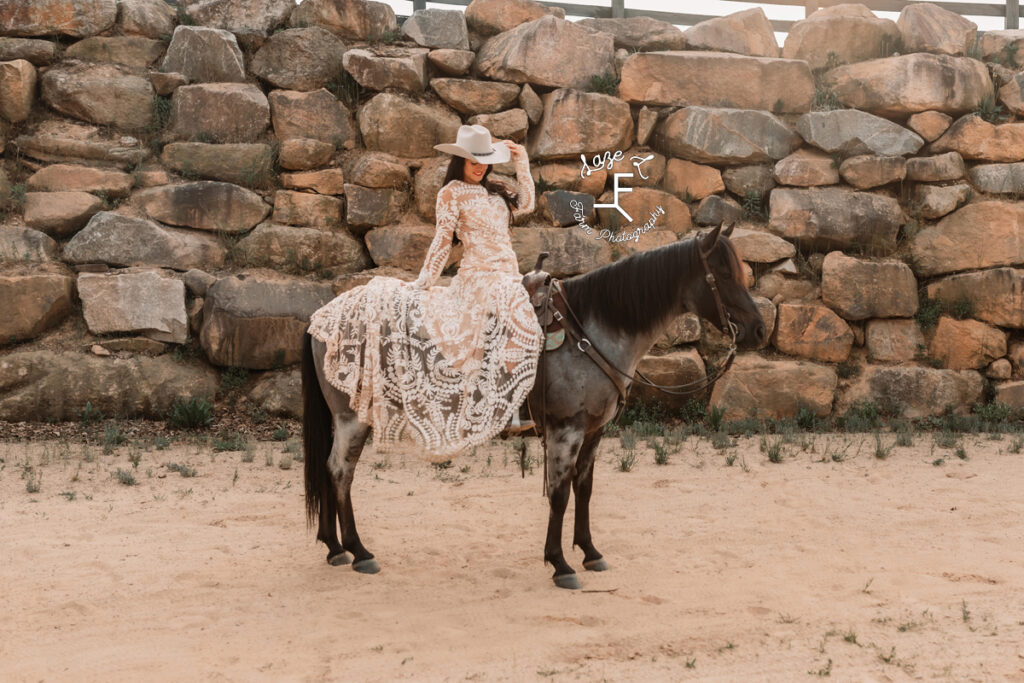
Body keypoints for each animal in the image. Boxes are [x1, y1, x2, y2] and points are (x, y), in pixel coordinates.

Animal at [299, 224, 765, 589]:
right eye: (723, 272)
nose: (759, 329)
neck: (590, 331)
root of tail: (321, 315)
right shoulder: (565, 429)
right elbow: (558, 494)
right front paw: (560, 564)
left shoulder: (594, 430)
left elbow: (584, 489)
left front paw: (590, 552)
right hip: (351, 419)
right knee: (340, 472)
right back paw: (358, 551)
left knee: (329, 471)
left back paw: (335, 547)